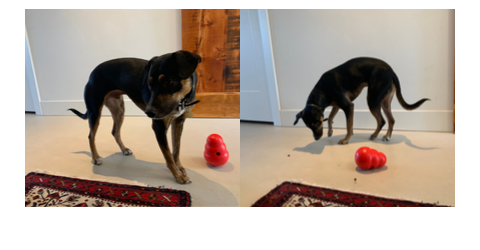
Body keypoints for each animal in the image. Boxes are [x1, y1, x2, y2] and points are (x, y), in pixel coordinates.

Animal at [67, 50, 201, 184]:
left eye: (169, 82)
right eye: (149, 84)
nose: (148, 112)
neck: (181, 100)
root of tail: (92, 74)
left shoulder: (178, 122)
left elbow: (176, 149)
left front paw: (179, 168)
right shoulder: (159, 127)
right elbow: (168, 155)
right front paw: (178, 176)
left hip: (119, 110)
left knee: (115, 132)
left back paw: (124, 149)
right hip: (94, 111)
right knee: (91, 136)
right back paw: (95, 158)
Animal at [294, 57, 430, 145]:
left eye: (317, 123)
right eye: (308, 126)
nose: (316, 138)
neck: (323, 89)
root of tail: (391, 72)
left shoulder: (348, 106)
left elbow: (348, 125)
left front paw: (346, 139)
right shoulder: (337, 105)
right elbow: (331, 117)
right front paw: (330, 131)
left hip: (373, 100)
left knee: (382, 121)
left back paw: (375, 135)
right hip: (384, 102)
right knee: (391, 120)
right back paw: (386, 136)